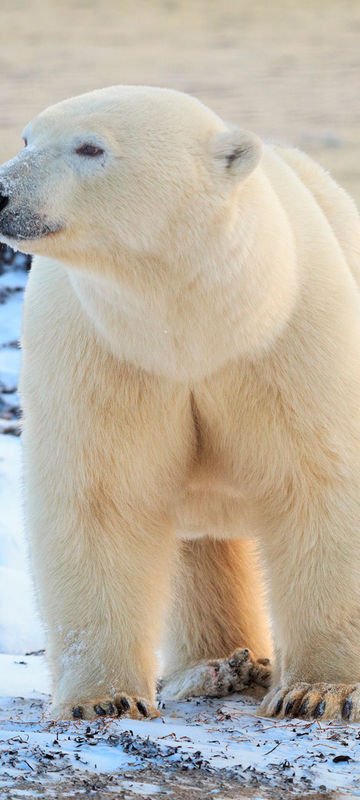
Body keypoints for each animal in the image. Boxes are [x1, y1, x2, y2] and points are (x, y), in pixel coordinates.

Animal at [0, 87, 360, 724]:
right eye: (26, 138)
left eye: (90, 147)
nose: (0, 191)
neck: (196, 326)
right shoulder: (105, 352)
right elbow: (101, 497)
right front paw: (104, 699)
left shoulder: (288, 340)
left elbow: (318, 482)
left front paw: (317, 691)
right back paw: (218, 667)